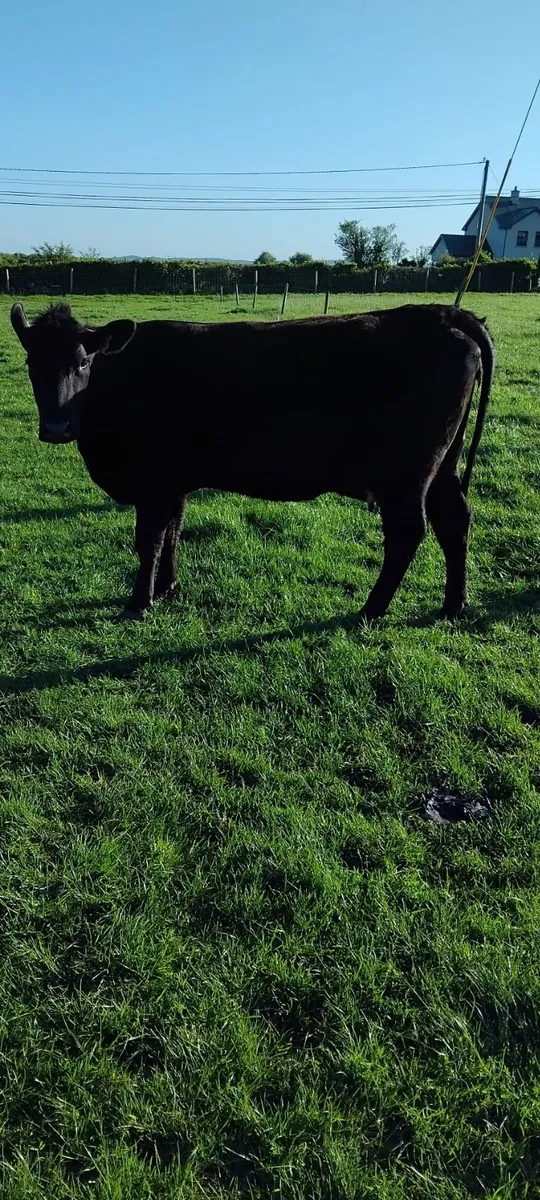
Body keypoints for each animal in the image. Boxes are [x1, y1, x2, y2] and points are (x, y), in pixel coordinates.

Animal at [11, 301, 494, 623]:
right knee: (455, 522)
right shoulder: (174, 481)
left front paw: (139, 602)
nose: (56, 427)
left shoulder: (152, 480)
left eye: (83, 362)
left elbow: (149, 540)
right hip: (443, 468)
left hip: (405, 476)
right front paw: (167, 588)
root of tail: (440, 313)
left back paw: (369, 610)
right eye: (32, 363)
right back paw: (453, 605)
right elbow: (174, 532)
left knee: (409, 534)